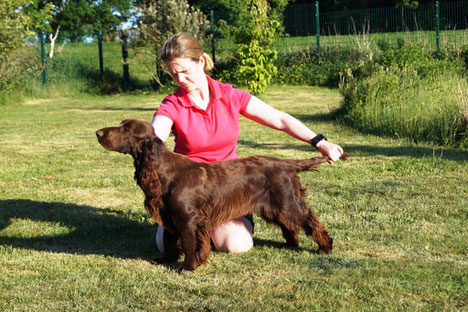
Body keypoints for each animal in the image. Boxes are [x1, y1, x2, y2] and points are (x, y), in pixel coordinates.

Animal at [97, 119, 348, 270]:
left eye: (126, 129)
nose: (98, 132)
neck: (162, 171)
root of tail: (287, 164)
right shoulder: (168, 215)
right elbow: (168, 241)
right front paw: (165, 260)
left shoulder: (189, 218)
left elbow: (189, 243)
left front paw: (188, 267)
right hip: (274, 206)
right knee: (290, 225)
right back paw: (290, 245)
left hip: (288, 202)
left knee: (310, 221)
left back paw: (325, 247)